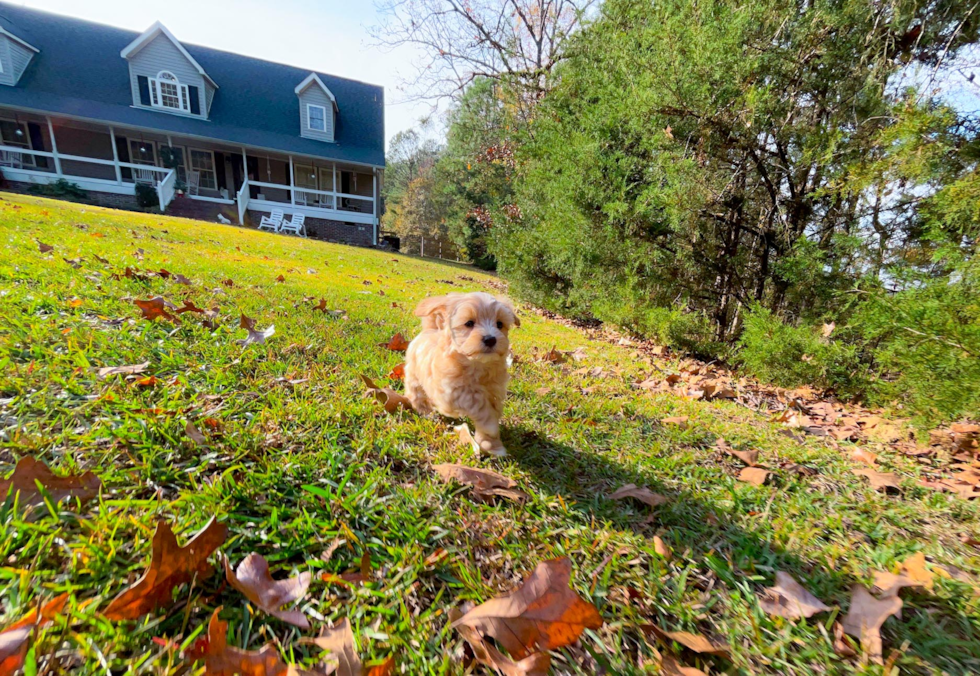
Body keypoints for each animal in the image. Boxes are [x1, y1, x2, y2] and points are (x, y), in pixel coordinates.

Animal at [404, 292, 520, 456]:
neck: (478, 365)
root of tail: (429, 330)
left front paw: (491, 444)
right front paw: (490, 426)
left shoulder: (495, 392)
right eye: (469, 323)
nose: (490, 339)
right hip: (414, 374)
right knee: (415, 392)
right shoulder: (453, 392)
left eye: (499, 324)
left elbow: (492, 412)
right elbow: (480, 406)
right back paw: (425, 410)